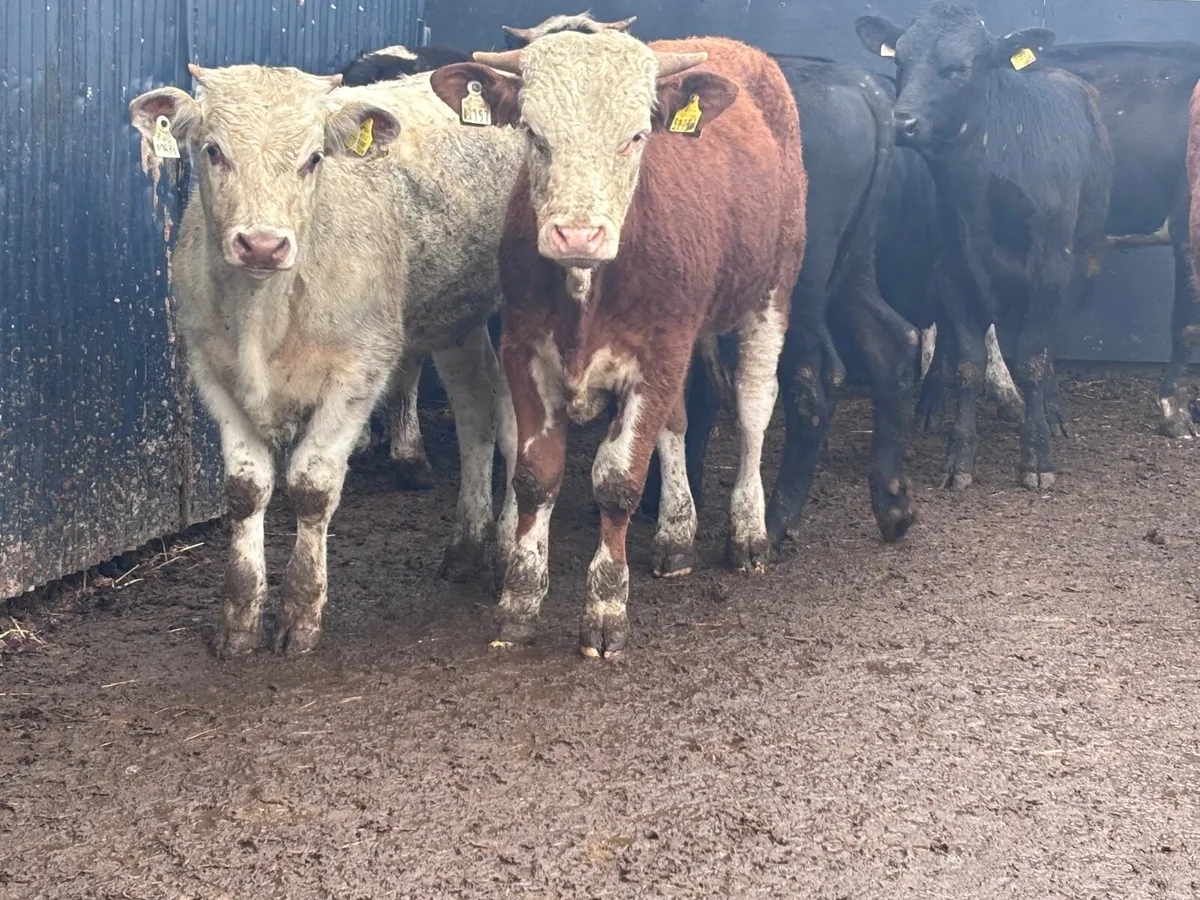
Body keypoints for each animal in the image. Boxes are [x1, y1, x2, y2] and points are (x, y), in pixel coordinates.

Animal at [129, 64, 524, 657]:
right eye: (213, 150)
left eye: (314, 157)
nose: (262, 244)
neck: (263, 313)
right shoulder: (210, 368)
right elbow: (245, 490)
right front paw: (239, 620)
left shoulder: (360, 370)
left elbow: (312, 487)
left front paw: (301, 614)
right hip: (457, 318)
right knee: (477, 411)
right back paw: (466, 547)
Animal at [429, 30, 807, 657]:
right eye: (534, 134)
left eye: (635, 137)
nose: (579, 234)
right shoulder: (525, 350)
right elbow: (535, 478)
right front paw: (520, 600)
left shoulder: (657, 356)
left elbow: (617, 483)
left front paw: (606, 608)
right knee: (677, 422)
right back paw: (677, 533)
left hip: (773, 287)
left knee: (754, 405)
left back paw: (749, 531)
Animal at [856, 2, 1113, 491]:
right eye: (900, 62)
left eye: (959, 68)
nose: (903, 122)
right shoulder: (952, 269)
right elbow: (968, 363)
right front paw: (959, 457)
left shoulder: (1049, 268)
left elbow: (1032, 357)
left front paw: (1036, 456)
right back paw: (930, 406)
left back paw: (1052, 410)